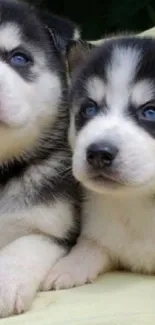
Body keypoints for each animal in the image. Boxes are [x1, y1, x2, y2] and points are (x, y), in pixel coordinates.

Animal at [42, 37, 155, 288]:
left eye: (151, 112)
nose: (99, 154)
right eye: (89, 109)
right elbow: (89, 246)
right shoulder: (98, 234)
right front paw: (67, 268)